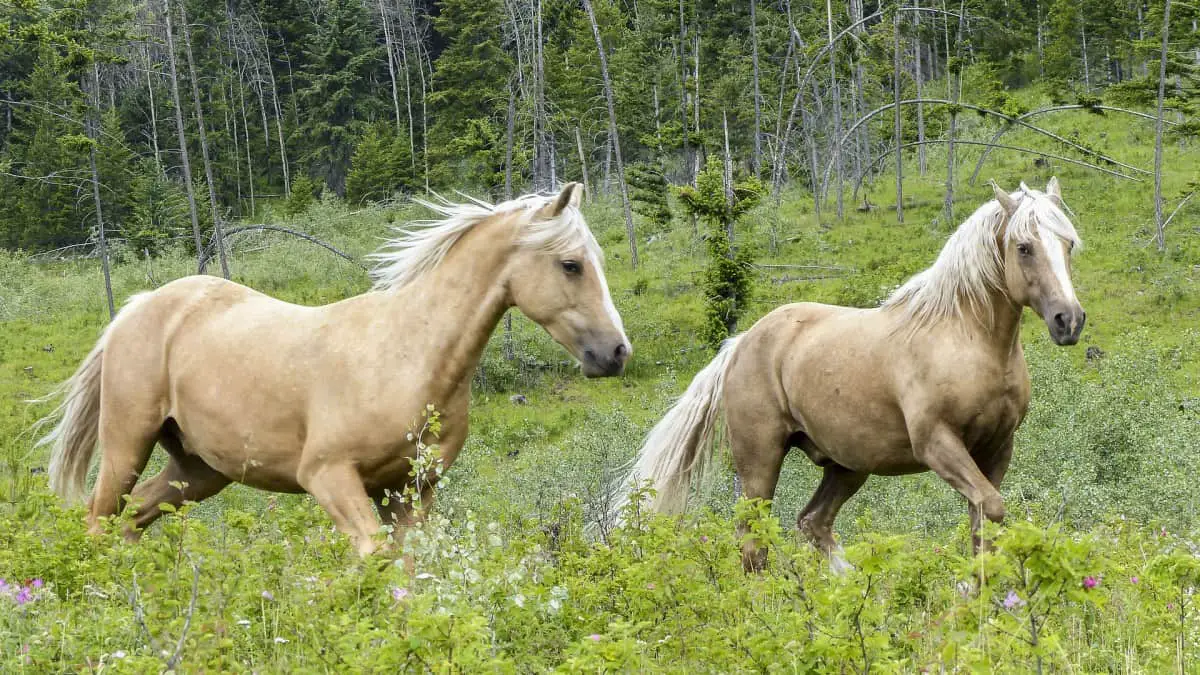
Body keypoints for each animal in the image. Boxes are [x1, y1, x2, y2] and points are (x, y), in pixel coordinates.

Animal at [36, 182, 631, 556]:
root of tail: (139, 308)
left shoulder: (410, 492)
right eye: (571, 265)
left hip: (199, 469)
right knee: (99, 520)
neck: (408, 357)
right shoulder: (328, 477)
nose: (616, 352)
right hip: (127, 444)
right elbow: (374, 560)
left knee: (131, 519)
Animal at [608, 178, 1084, 572]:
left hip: (847, 464)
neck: (966, 339)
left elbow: (985, 521)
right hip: (760, 461)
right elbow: (991, 508)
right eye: (1023, 246)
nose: (1069, 320)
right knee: (753, 539)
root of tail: (740, 343)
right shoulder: (938, 443)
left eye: (1068, 244)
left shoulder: (998, 447)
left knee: (812, 523)